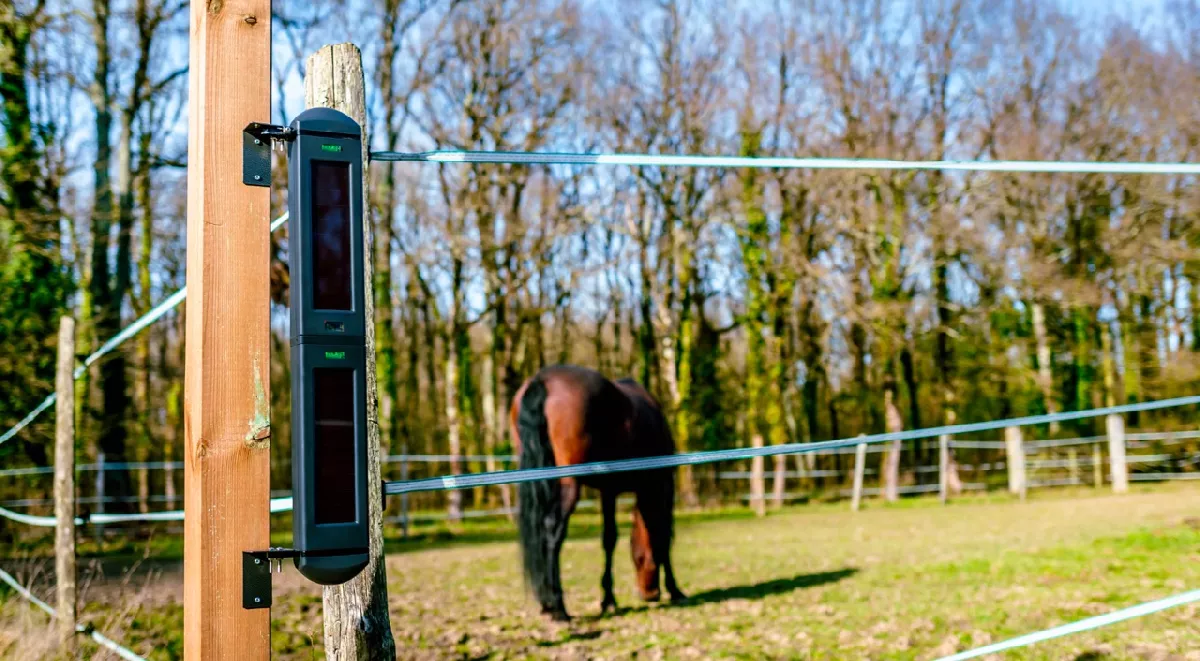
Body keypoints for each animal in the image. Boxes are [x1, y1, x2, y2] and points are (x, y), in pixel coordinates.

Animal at [509, 364, 686, 621]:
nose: (649, 593)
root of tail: (542, 380)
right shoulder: (662, 484)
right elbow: (662, 536)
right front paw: (675, 590)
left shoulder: (608, 491)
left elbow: (609, 539)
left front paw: (608, 599)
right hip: (569, 485)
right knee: (552, 531)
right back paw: (558, 606)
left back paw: (546, 604)